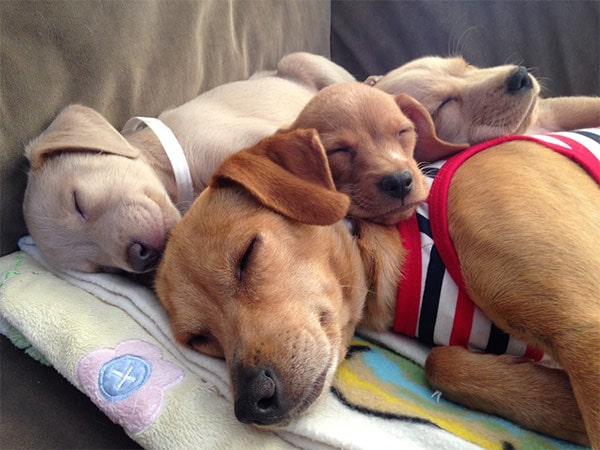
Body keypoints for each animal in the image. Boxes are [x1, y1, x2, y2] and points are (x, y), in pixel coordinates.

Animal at [156, 123, 600, 446]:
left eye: (247, 255)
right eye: (200, 339)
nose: (251, 402)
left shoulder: (584, 329)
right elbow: (442, 362)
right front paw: (564, 407)